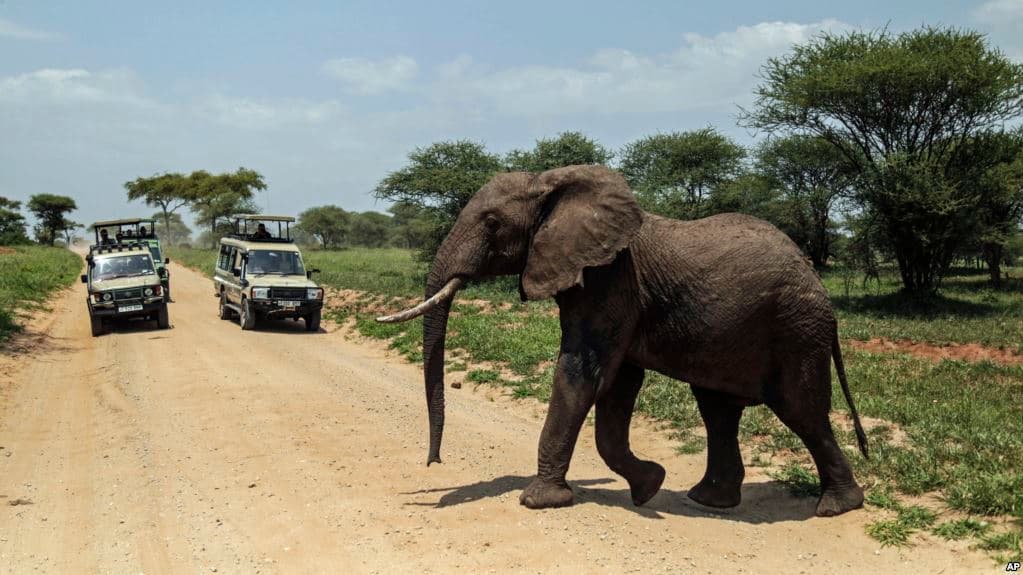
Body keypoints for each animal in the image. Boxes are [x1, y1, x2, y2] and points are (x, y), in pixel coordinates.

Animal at [378, 164, 868, 517]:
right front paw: (649, 486)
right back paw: (709, 501)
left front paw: (540, 502)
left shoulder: (611, 280)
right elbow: (616, 385)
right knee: (718, 409)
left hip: (796, 328)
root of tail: (815, 278)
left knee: (800, 409)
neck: (551, 184)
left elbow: (584, 374)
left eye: (493, 223)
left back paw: (836, 508)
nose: (433, 461)